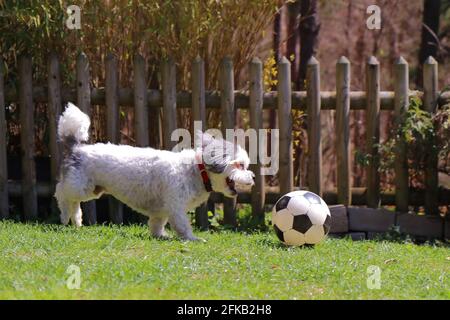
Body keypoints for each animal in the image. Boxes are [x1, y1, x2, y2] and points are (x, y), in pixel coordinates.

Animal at [54, 104, 253, 241]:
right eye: (240, 165)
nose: (253, 177)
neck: (196, 171)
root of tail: (77, 148)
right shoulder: (176, 206)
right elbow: (182, 225)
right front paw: (193, 239)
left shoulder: (162, 209)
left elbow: (157, 223)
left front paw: (160, 235)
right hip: (80, 186)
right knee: (61, 193)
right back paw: (64, 216)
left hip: (92, 189)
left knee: (73, 202)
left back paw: (76, 220)